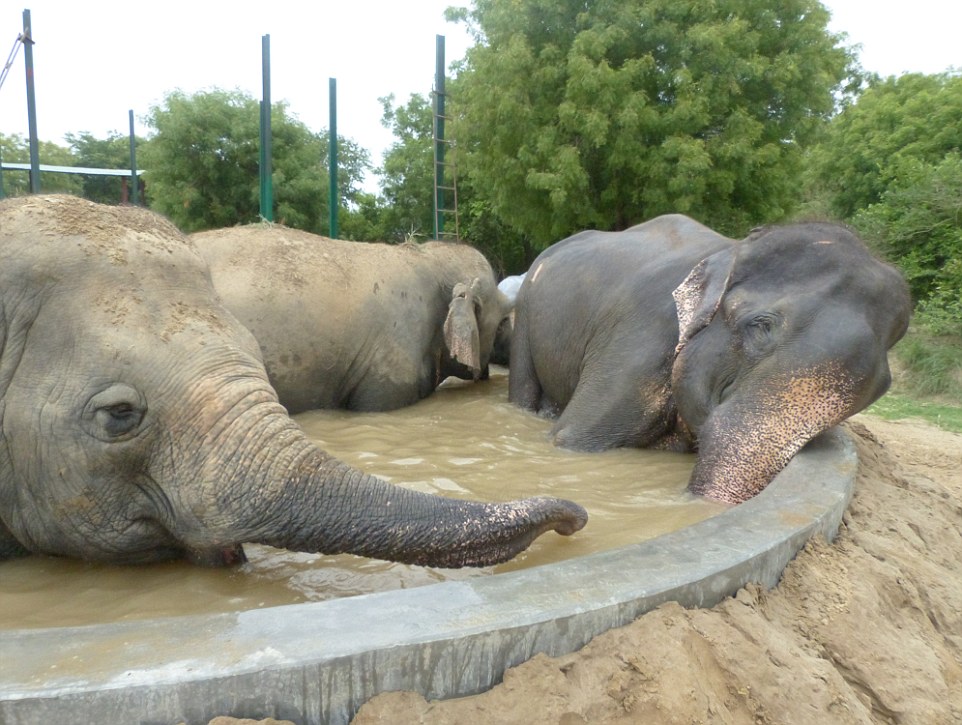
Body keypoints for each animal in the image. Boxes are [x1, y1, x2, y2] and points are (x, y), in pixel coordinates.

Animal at [506, 212, 912, 500]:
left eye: (880, 388)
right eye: (761, 327)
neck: (734, 248)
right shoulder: (641, 338)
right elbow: (572, 439)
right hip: (525, 314)